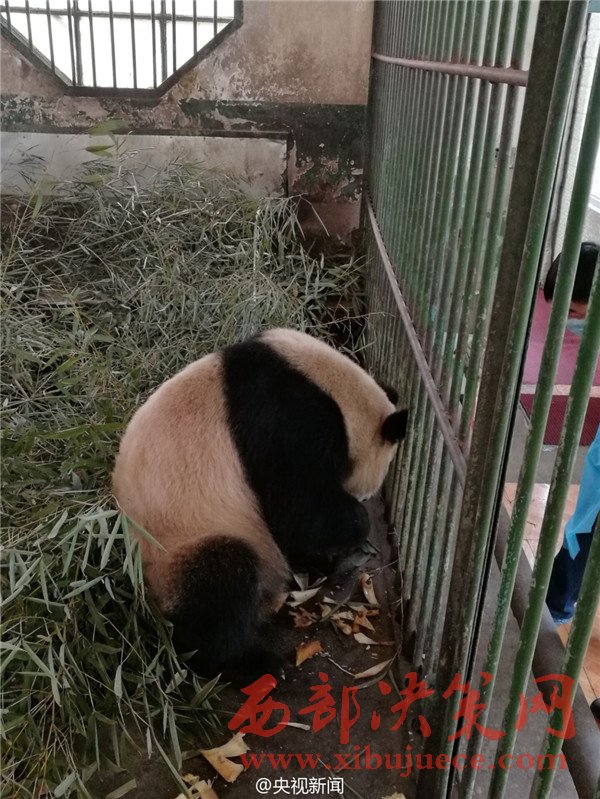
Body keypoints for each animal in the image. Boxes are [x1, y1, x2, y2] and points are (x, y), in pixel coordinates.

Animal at [112, 328, 407, 684]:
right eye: (366, 494)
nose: (364, 498)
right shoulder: (291, 423)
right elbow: (299, 511)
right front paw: (352, 533)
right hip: (182, 543)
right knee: (218, 588)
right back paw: (253, 664)